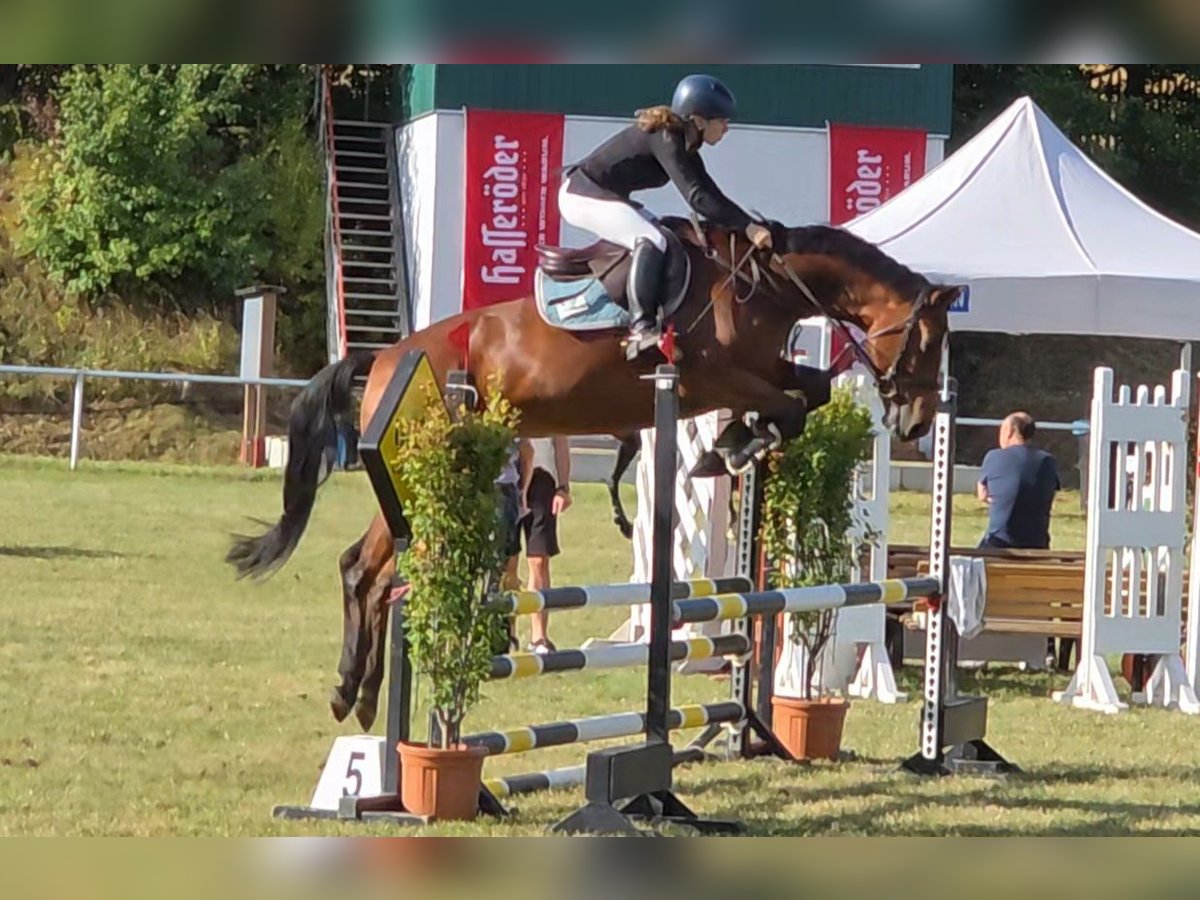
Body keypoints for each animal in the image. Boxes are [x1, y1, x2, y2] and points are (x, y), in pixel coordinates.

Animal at [226, 217, 962, 731]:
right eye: (926, 341)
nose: (919, 421)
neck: (763, 287)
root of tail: (384, 358)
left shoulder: (759, 371)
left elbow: (808, 391)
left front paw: (735, 442)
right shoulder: (709, 376)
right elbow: (790, 402)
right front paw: (734, 445)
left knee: (373, 577)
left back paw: (361, 697)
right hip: (426, 467)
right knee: (365, 572)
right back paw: (350, 691)